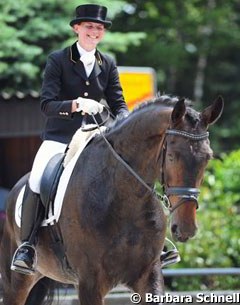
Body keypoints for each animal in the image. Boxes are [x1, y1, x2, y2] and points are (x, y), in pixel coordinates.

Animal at [0, 95, 224, 304]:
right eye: (172, 157)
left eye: (208, 158)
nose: (186, 228)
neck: (124, 199)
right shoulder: (89, 283)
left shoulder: (149, 274)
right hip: (16, 282)